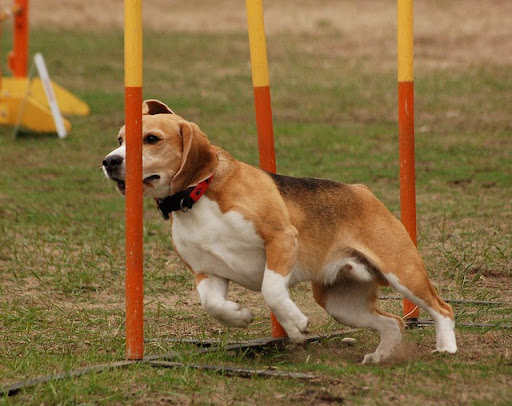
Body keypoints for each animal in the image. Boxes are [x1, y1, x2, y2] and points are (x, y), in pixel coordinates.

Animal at [103, 99, 457, 363]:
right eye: (120, 140)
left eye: (151, 139)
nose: (109, 161)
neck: (196, 196)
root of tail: (362, 190)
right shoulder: (207, 271)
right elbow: (211, 303)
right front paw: (239, 316)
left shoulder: (280, 239)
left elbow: (271, 289)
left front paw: (295, 325)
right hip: (341, 303)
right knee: (393, 322)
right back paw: (382, 355)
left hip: (403, 272)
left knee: (442, 308)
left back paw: (445, 347)